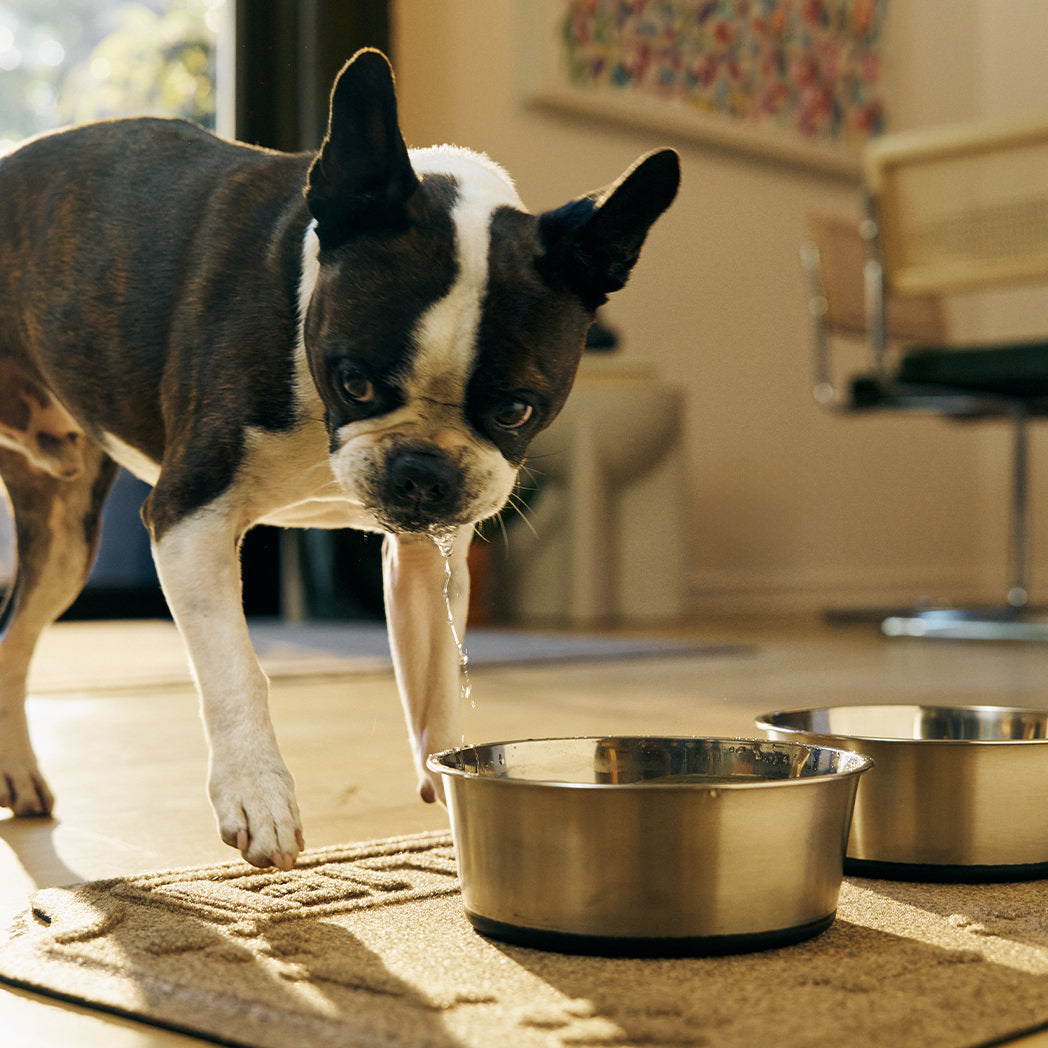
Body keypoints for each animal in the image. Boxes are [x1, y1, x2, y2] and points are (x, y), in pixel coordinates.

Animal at [0, 47, 679, 867]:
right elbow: (236, 669)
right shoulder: (190, 518)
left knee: (11, 643)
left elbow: (436, 685)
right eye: (352, 380)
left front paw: (452, 799)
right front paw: (257, 793)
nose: (422, 469)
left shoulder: (427, 557)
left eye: (517, 410)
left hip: (64, 537)